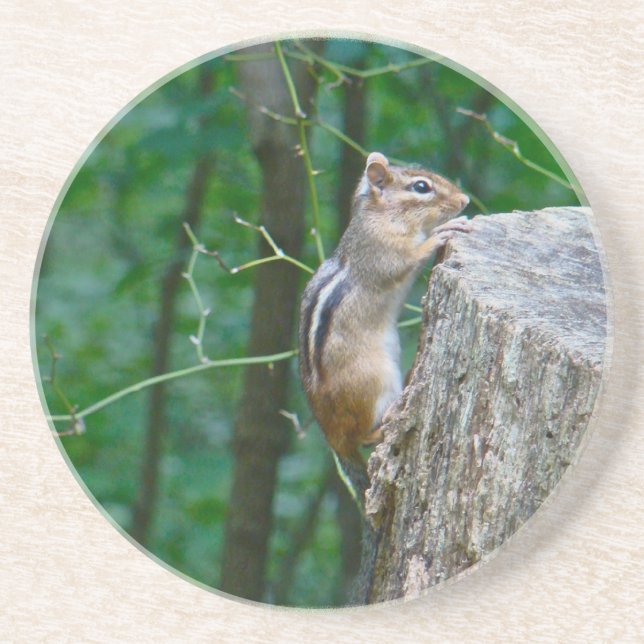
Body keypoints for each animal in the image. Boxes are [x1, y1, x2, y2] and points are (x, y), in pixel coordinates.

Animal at [299, 151, 471, 509]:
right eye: (421, 187)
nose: (464, 200)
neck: (380, 215)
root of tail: (332, 439)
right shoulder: (384, 253)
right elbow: (409, 257)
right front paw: (445, 229)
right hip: (373, 381)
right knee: (364, 435)